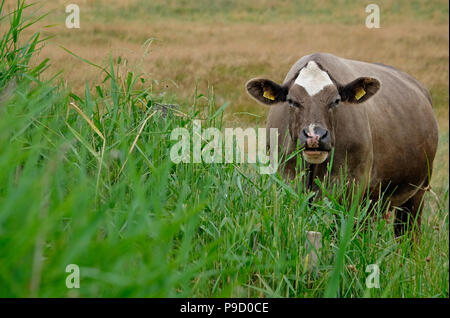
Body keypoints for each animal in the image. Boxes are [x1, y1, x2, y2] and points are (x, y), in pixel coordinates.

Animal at [246, 52, 440, 236]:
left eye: (336, 101)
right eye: (292, 101)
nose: (314, 136)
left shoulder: (350, 188)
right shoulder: (286, 179)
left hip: (418, 191)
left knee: (407, 233)